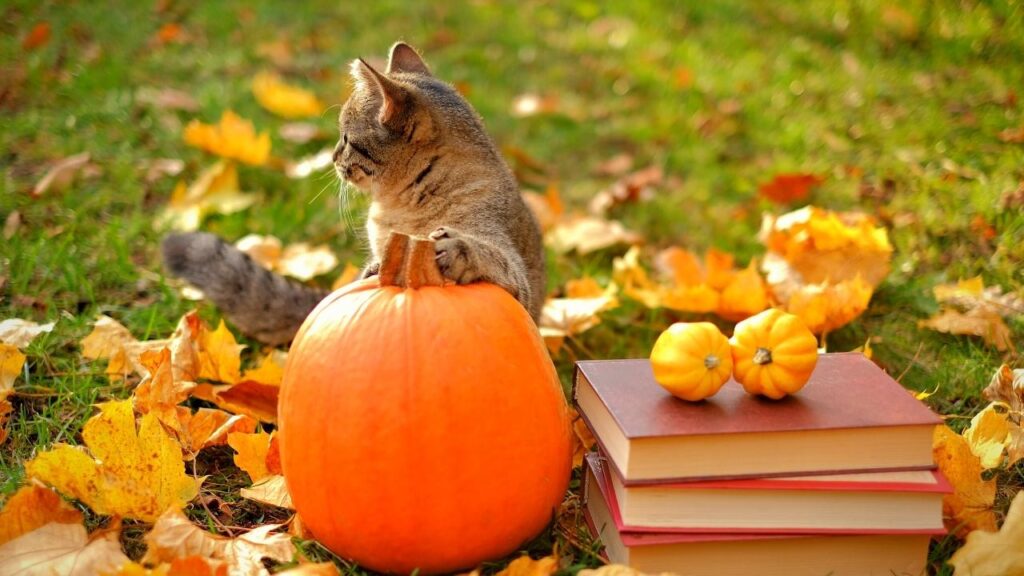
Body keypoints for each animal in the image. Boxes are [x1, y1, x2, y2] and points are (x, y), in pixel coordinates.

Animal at [161, 42, 544, 344]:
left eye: (345, 138)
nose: (331, 156)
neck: (399, 208)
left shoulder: (514, 276)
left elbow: (491, 257)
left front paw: (454, 249)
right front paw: (376, 268)